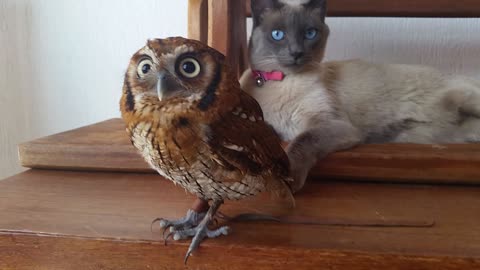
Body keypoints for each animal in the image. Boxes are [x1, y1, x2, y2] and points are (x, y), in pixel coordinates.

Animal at [240, 0, 480, 192]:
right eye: (278, 34)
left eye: (310, 33)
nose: (296, 53)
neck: (282, 81)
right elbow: (262, 132)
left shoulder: (331, 124)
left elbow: (301, 141)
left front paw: (289, 179)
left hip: (468, 100)